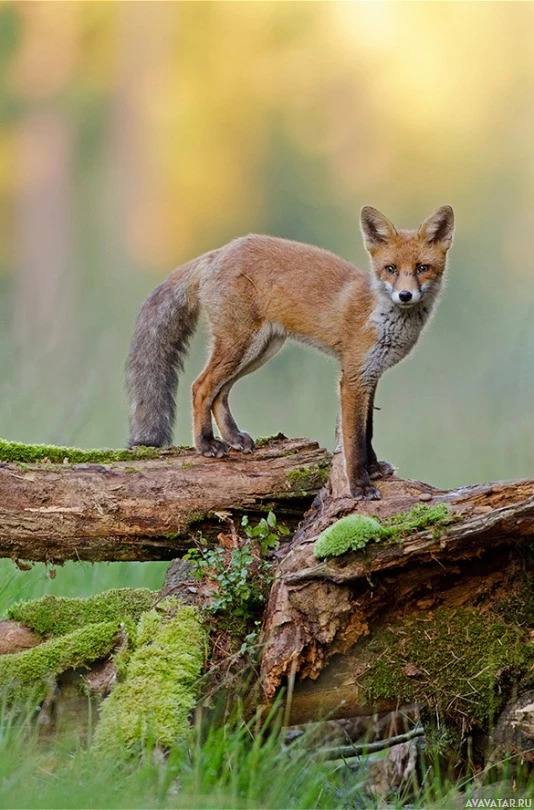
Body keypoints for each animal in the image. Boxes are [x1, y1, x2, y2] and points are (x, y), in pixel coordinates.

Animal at [126, 205, 456, 496]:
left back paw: (233, 437)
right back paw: (206, 444)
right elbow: (354, 440)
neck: (380, 316)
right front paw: (359, 485)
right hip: (239, 345)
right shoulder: (352, 378)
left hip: (259, 351)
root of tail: (219, 252)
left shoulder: (371, 376)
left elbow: (368, 432)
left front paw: (373, 470)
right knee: (201, 387)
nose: (405, 295)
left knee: (221, 392)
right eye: (391, 269)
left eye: (422, 268)